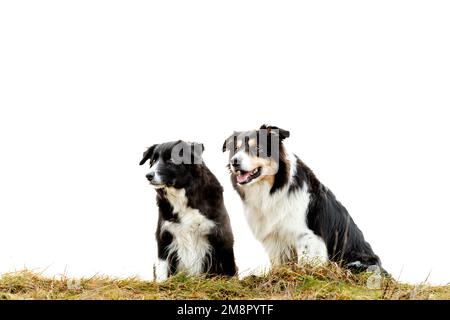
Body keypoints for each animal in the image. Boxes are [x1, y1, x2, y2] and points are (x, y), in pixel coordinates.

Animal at [140, 140, 239, 280]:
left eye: (171, 160)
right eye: (153, 160)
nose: (148, 175)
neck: (183, 196)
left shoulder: (222, 236)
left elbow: (228, 268)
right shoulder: (164, 236)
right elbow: (162, 269)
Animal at [221, 124, 384, 272]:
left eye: (257, 148)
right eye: (236, 149)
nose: (234, 162)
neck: (272, 188)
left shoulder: (307, 236)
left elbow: (306, 262)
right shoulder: (275, 240)